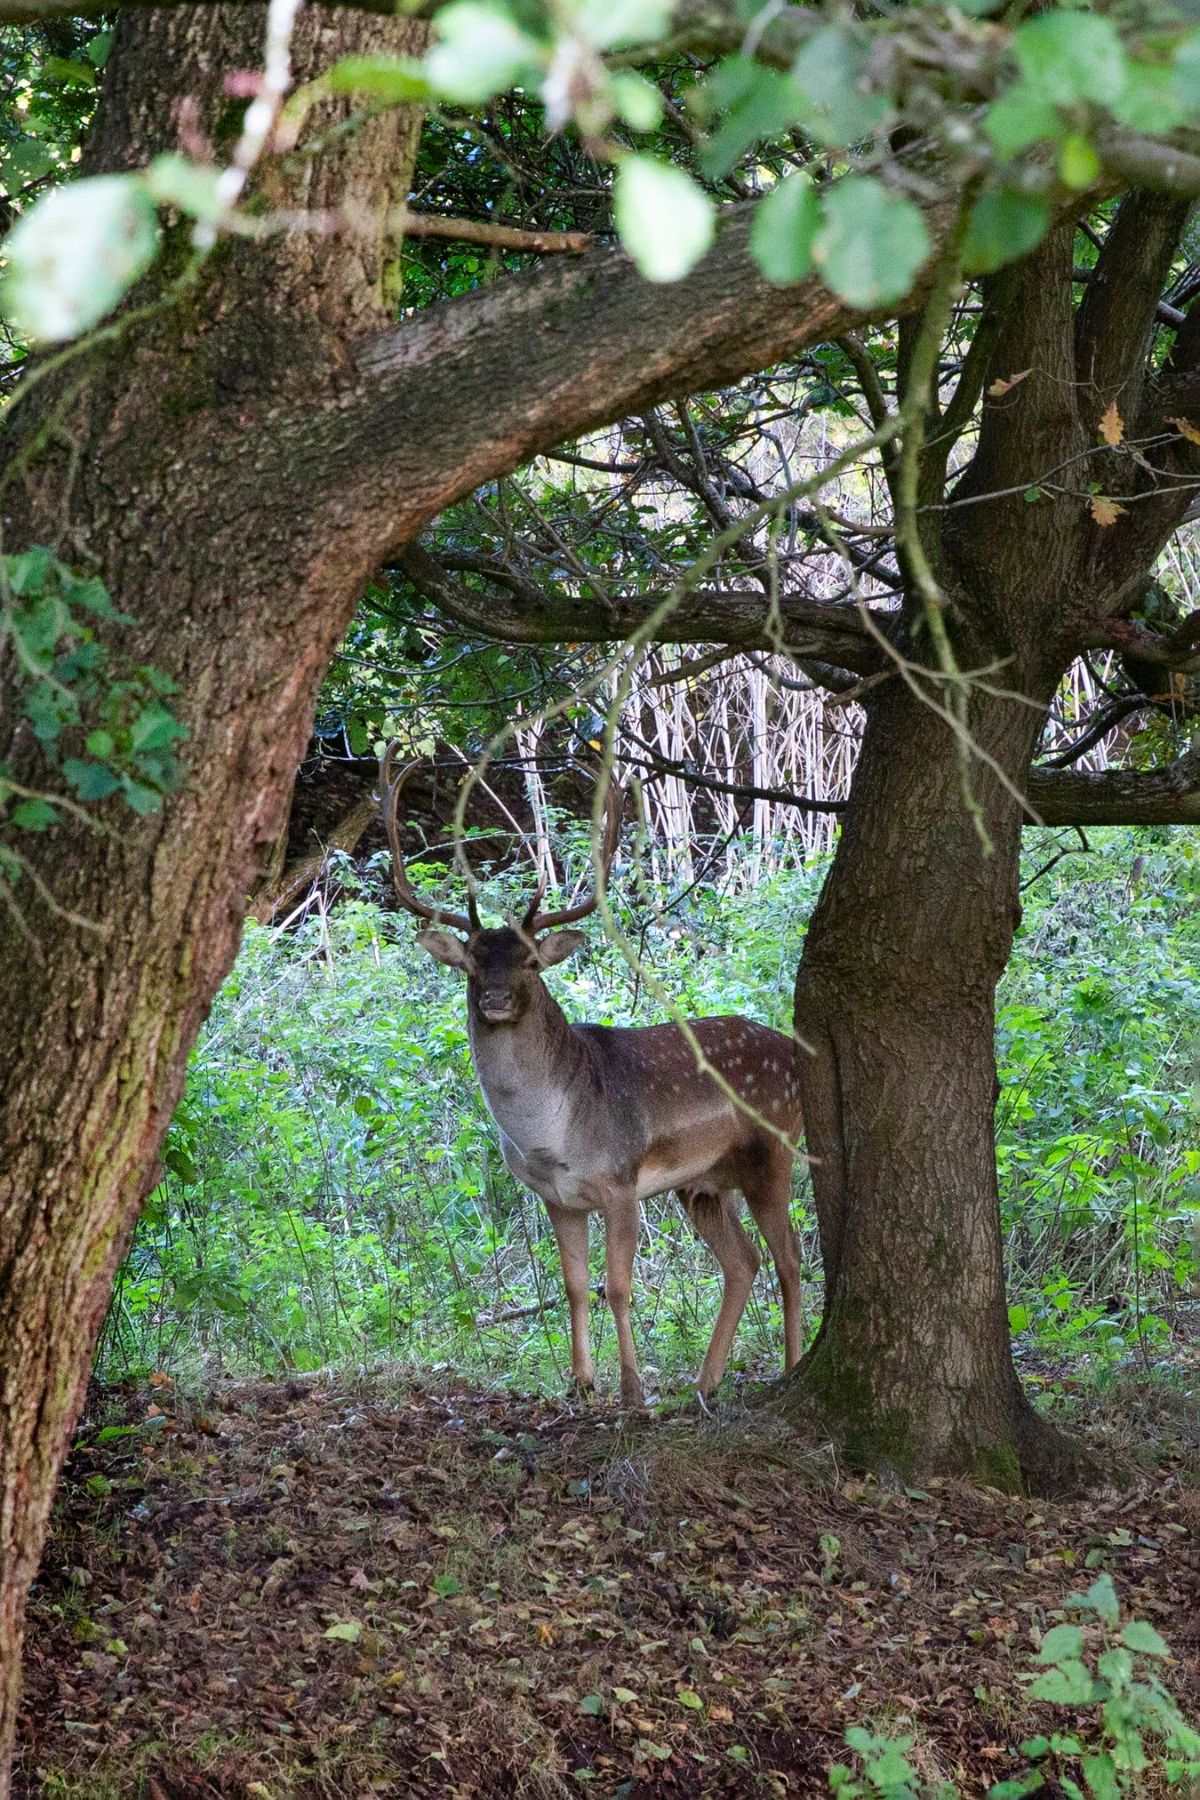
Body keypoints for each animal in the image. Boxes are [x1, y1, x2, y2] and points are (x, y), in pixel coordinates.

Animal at [379, 745, 802, 1404]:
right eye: (472, 960)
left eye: (530, 960)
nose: (495, 998)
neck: (549, 1135)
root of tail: (799, 1057)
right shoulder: (557, 1198)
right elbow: (575, 1285)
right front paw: (580, 1384)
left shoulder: (621, 1179)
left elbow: (619, 1285)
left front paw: (631, 1392)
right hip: (702, 1183)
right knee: (743, 1262)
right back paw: (704, 1382)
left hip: (771, 1152)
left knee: (790, 1260)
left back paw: (787, 1368)